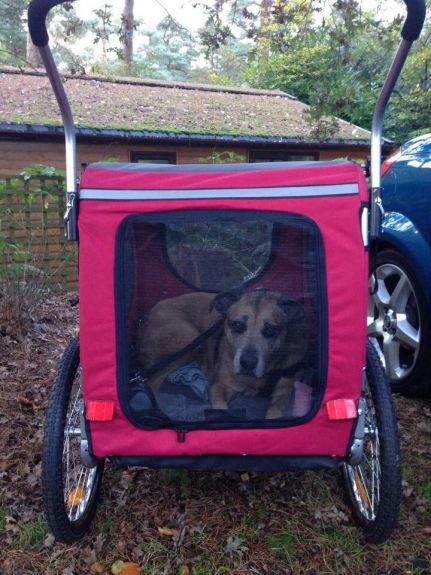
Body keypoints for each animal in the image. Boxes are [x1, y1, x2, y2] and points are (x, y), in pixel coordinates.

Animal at [138, 290, 308, 420]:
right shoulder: (221, 386)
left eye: (270, 330)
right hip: (190, 341)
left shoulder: (284, 392)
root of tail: (147, 315)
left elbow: (275, 411)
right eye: (237, 325)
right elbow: (221, 407)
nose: (248, 362)